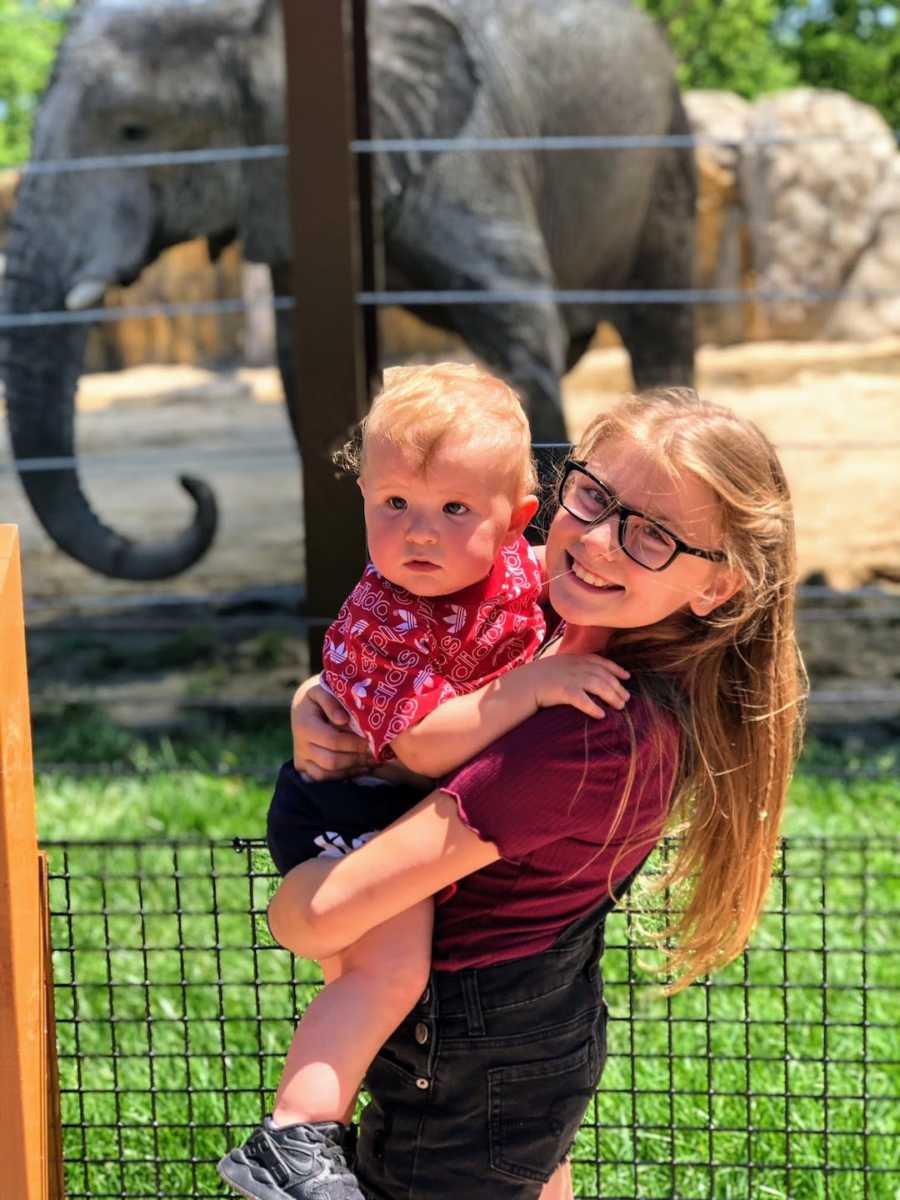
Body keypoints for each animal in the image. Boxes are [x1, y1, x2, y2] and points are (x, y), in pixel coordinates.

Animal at [1, 0, 696, 580]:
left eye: (134, 130)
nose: (190, 487)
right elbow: (299, 363)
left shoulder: (466, 153)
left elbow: (519, 332)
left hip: (663, 143)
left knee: (658, 326)